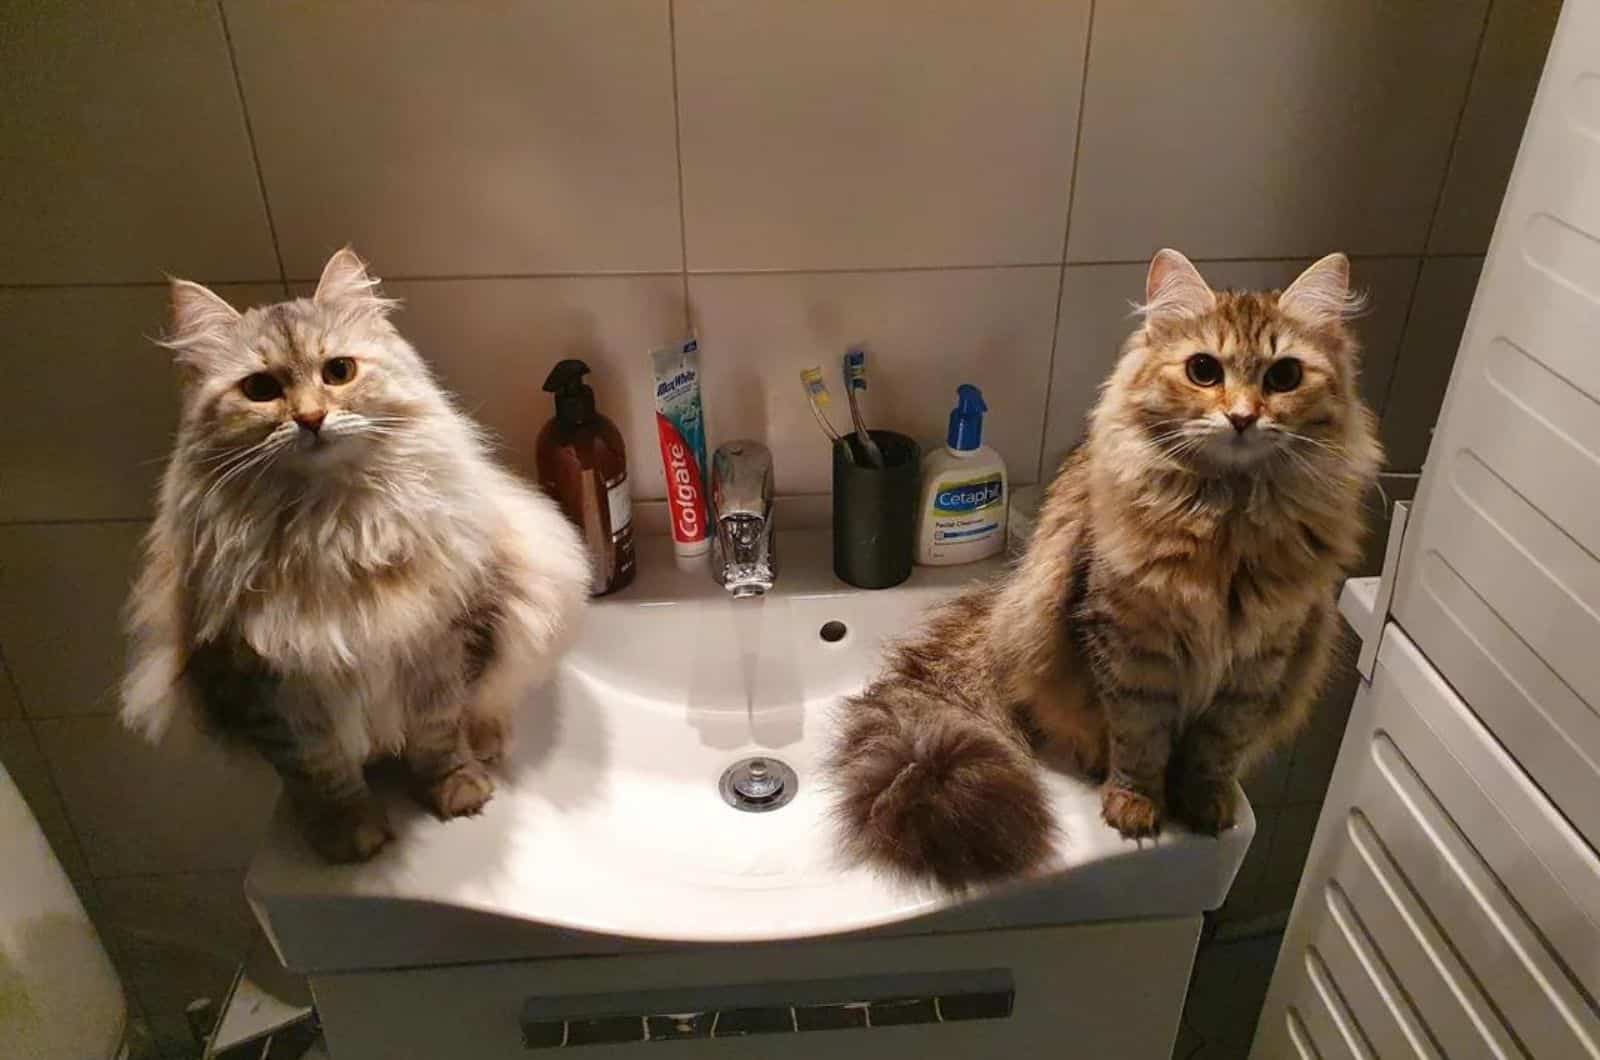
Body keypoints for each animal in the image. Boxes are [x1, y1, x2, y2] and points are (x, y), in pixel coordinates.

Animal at [121, 246, 588, 864]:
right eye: (260, 388)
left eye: (338, 371)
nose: (311, 418)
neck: (332, 533)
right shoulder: (271, 686)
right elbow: (322, 771)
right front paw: (350, 834)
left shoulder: (437, 640)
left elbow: (440, 734)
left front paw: (459, 790)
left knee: (490, 700)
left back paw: (488, 744)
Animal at [832, 249, 1382, 890]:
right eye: (1203, 370)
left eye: (1284, 377)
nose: (1243, 417)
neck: (1226, 522)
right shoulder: (1129, 642)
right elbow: (1138, 738)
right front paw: (1136, 801)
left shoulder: (1259, 659)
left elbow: (1216, 748)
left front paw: (1203, 803)